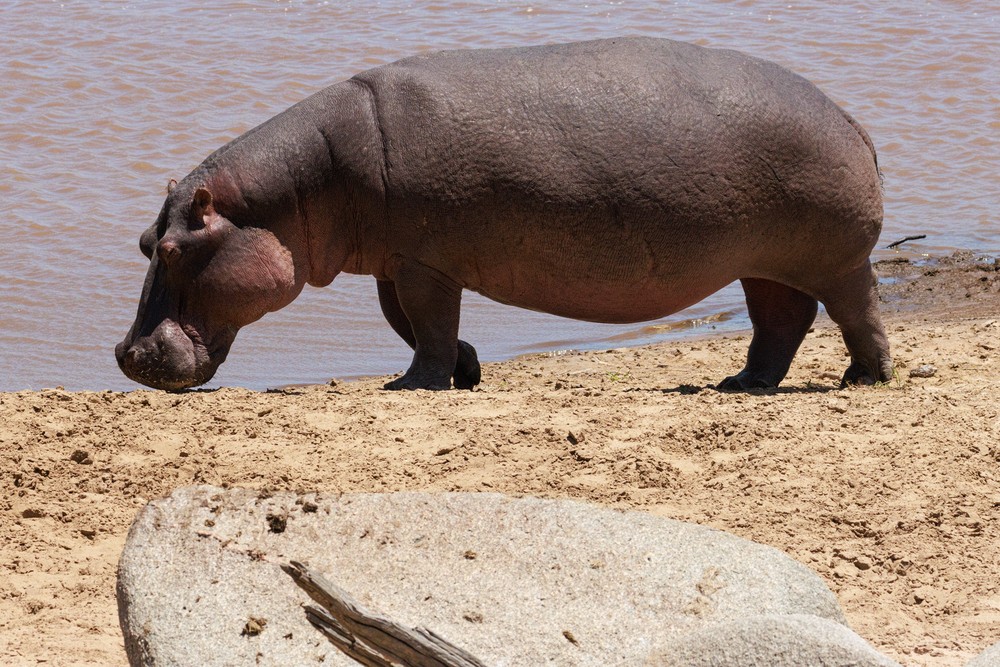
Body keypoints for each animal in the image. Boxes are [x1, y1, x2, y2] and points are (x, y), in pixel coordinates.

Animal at [116, 36, 893, 391]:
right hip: (765, 262)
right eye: (145, 240)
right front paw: (466, 370)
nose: (125, 355)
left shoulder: (424, 263)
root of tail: (850, 118)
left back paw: (864, 378)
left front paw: (417, 384)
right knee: (781, 320)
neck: (297, 189)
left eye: (178, 249)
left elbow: (426, 324)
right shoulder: (401, 262)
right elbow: (409, 322)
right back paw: (742, 384)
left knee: (856, 310)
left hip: (835, 258)